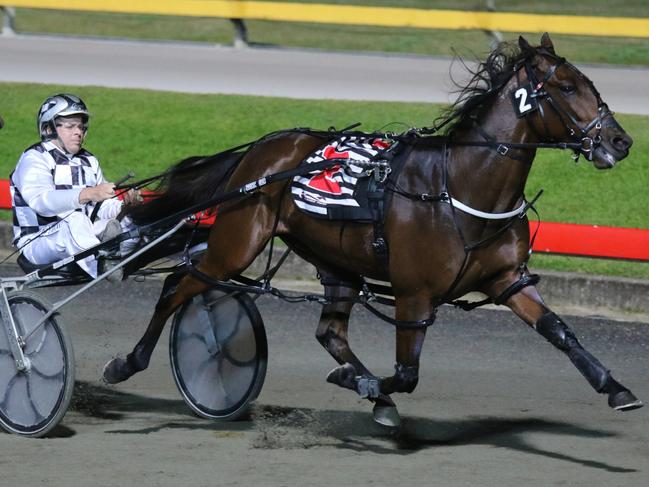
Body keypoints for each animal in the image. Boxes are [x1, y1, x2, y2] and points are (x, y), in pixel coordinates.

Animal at [104, 34, 640, 428]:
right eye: (566, 87)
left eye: (590, 81)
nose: (621, 140)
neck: (457, 187)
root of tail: (261, 150)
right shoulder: (414, 294)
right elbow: (405, 373)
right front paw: (365, 386)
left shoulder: (506, 278)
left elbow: (559, 330)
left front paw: (617, 389)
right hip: (237, 242)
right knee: (180, 284)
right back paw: (127, 362)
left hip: (335, 260)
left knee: (329, 331)